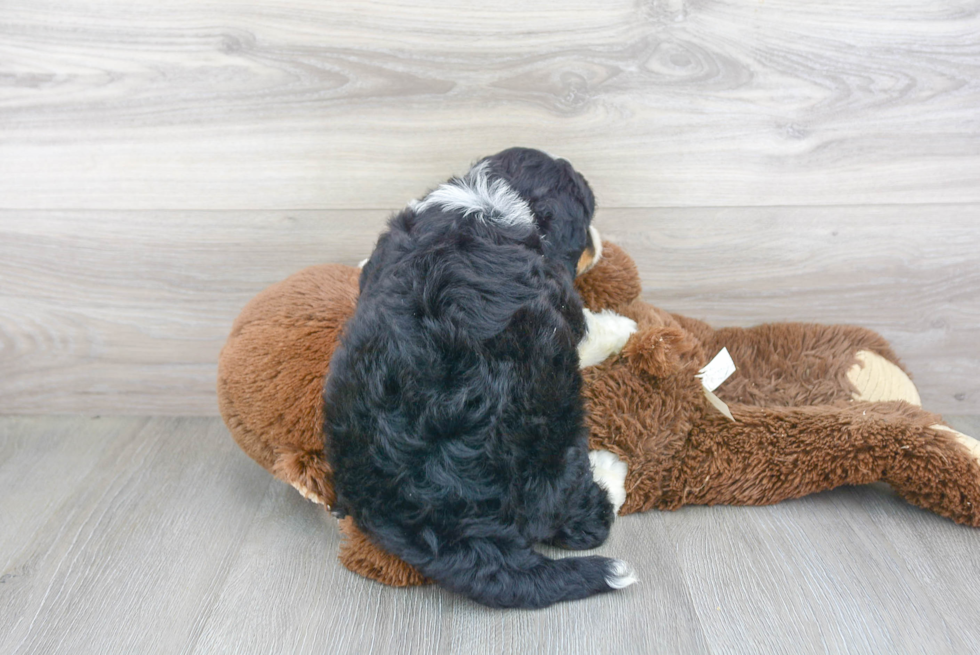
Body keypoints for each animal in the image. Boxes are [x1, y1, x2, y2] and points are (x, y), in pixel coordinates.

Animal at [326, 149, 640, 608]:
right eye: (584, 223)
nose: (598, 243)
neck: (487, 199)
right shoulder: (562, 305)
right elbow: (589, 329)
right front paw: (624, 328)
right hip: (554, 424)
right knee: (579, 519)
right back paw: (611, 476)